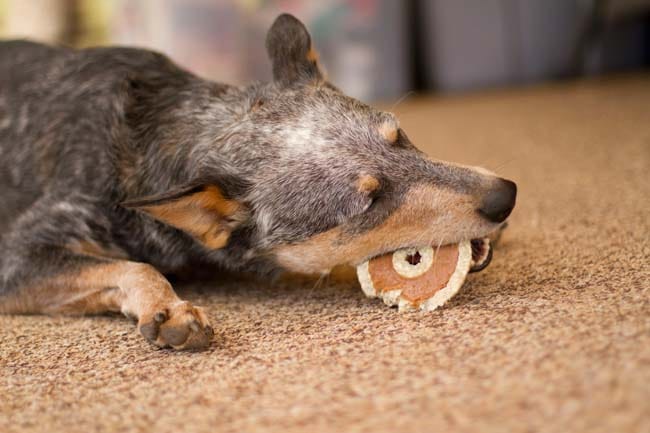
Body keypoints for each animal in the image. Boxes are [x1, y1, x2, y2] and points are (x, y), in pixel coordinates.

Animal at [1, 15, 516, 350]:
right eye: (370, 201)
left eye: (400, 136)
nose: (506, 195)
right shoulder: (15, 257)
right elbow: (137, 267)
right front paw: (169, 308)